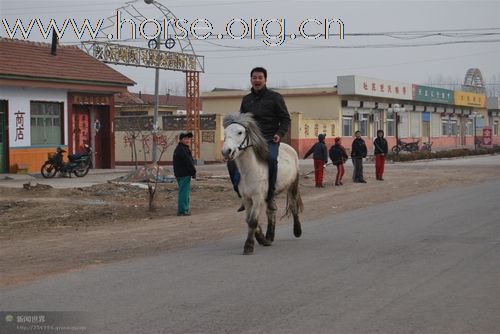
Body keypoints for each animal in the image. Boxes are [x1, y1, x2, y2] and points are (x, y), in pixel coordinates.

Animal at [223, 113, 304, 254]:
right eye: (225, 132)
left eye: (240, 132)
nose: (226, 151)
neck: (249, 171)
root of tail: (290, 148)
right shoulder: (246, 199)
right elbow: (248, 220)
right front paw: (262, 238)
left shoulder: (257, 198)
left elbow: (253, 221)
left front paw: (249, 246)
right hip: (271, 195)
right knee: (271, 211)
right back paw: (269, 236)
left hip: (293, 185)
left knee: (293, 205)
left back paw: (297, 231)